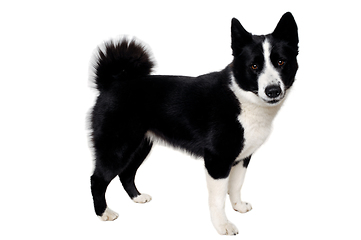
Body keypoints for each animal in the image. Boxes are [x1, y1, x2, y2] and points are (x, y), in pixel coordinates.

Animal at [88, 12, 296, 235]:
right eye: (254, 66)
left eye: (281, 62)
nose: (273, 90)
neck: (240, 97)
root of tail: (111, 83)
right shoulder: (217, 161)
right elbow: (218, 199)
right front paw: (222, 225)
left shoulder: (242, 157)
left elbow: (236, 185)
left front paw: (238, 206)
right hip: (117, 148)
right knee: (97, 180)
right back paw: (104, 213)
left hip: (139, 146)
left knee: (126, 174)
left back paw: (137, 197)